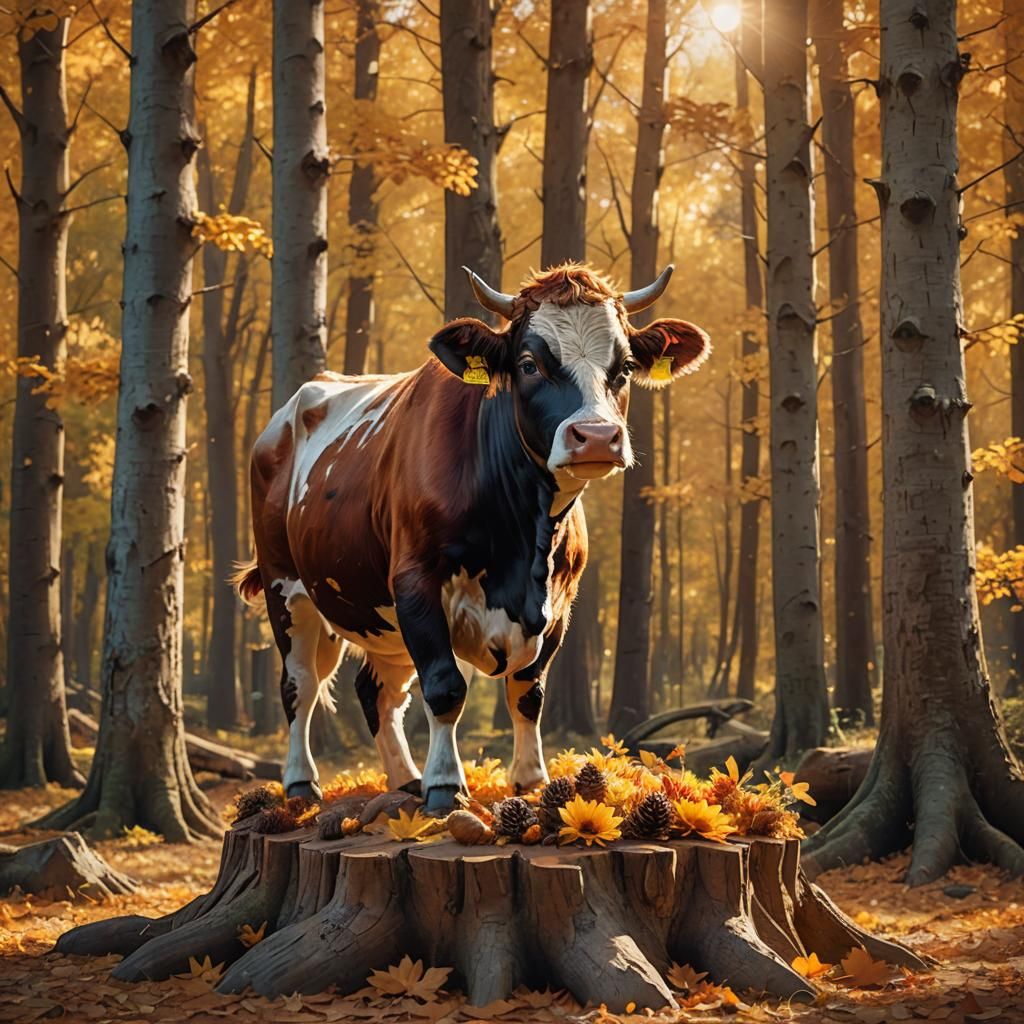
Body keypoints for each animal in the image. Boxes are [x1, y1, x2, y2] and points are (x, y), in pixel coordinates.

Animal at [234, 262, 710, 813]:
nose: (595, 436)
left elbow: (528, 693)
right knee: (300, 685)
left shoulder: (561, 602)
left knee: (377, 690)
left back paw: (404, 780)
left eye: (627, 365)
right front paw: (445, 786)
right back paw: (302, 783)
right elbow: (445, 686)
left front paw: (530, 782)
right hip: (286, 585)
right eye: (529, 364)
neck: (523, 546)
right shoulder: (415, 581)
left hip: (377, 615)